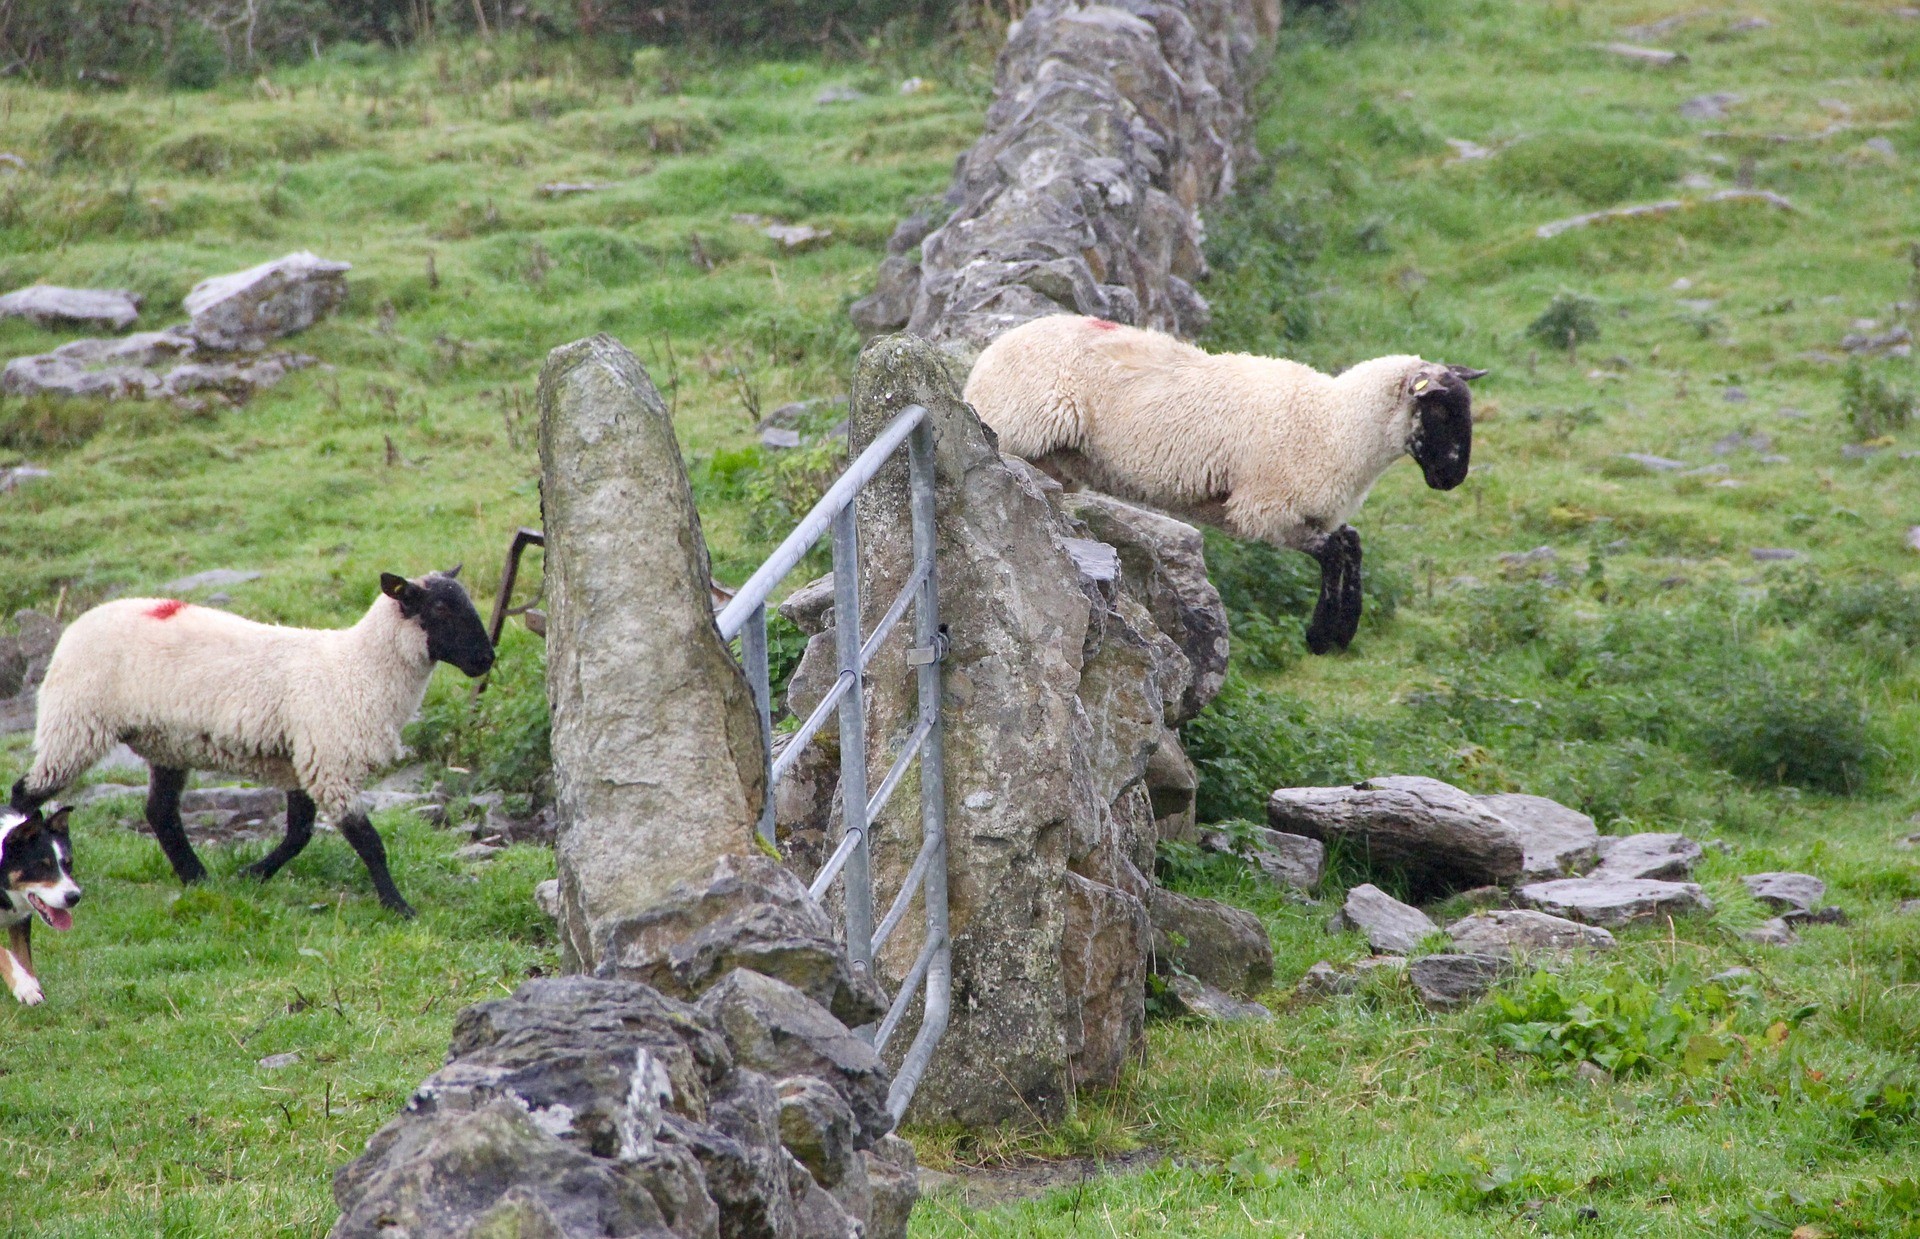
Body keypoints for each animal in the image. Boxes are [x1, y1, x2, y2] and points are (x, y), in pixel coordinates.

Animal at [0, 802, 78, 1006]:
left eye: (68, 863)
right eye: (41, 866)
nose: (75, 897)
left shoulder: (20, 920)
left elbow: (23, 957)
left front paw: (31, 986)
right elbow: (5, 953)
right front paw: (24, 986)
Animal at [11, 572, 491, 918]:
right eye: (440, 607)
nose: (486, 659)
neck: (358, 669)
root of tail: (77, 624)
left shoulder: (303, 762)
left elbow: (298, 835)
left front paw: (250, 874)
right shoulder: (330, 763)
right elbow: (369, 843)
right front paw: (398, 907)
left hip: (165, 741)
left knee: (160, 812)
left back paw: (197, 878)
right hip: (75, 723)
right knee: (25, 793)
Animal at [967, 315, 1489, 653]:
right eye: (1441, 411)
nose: (1452, 478)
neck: (1337, 424)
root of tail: (990, 354)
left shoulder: (1306, 512)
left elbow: (1351, 544)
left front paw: (1342, 628)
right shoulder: (1264, 511)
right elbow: (1334, 552)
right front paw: (1323, 633)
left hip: (1060, 462)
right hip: (1016, 432)